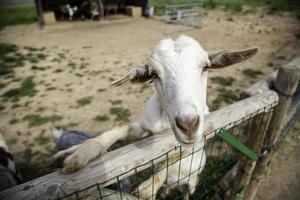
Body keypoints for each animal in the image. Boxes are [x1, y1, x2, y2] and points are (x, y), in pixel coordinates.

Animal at [52, 35, 256, 198]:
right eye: (154, 74)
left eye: (206, 67)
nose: (188, 125)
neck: (165, 122)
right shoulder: (144, 132)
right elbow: (121, 127)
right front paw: (76, 154)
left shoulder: (196, 141)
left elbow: (174, 156)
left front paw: (147, 188)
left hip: (193, 181)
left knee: (187, 193)